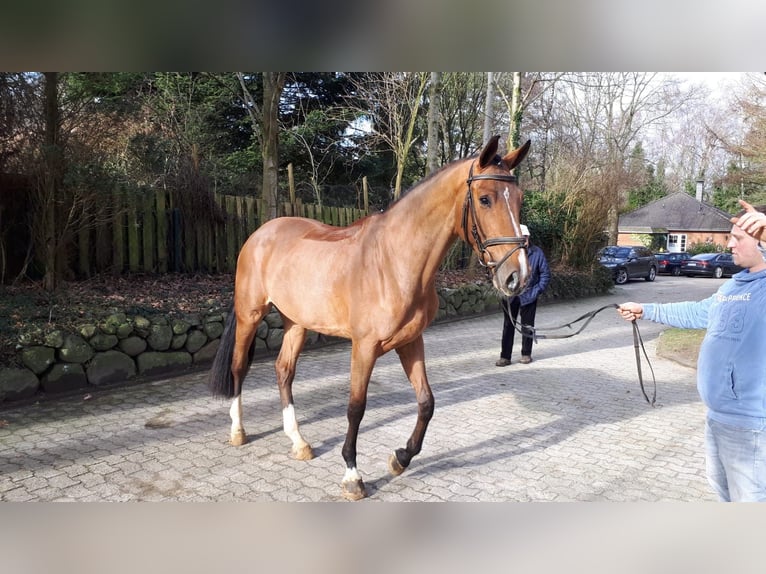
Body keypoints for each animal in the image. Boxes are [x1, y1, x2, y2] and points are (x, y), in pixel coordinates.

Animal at [208, 135, 531, 500]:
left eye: (519, 199)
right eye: (485, 198)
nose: (517, 277)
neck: (393, 261)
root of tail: (260, 234)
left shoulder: (410, 341)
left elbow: (426, 402)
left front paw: (401, 458)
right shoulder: (363, 346)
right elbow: (356, 407)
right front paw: (352, 475)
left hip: (296, 322)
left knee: (284, 371)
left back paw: (299, 442)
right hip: (250, 314)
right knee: (238, 367)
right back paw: (238, 432)